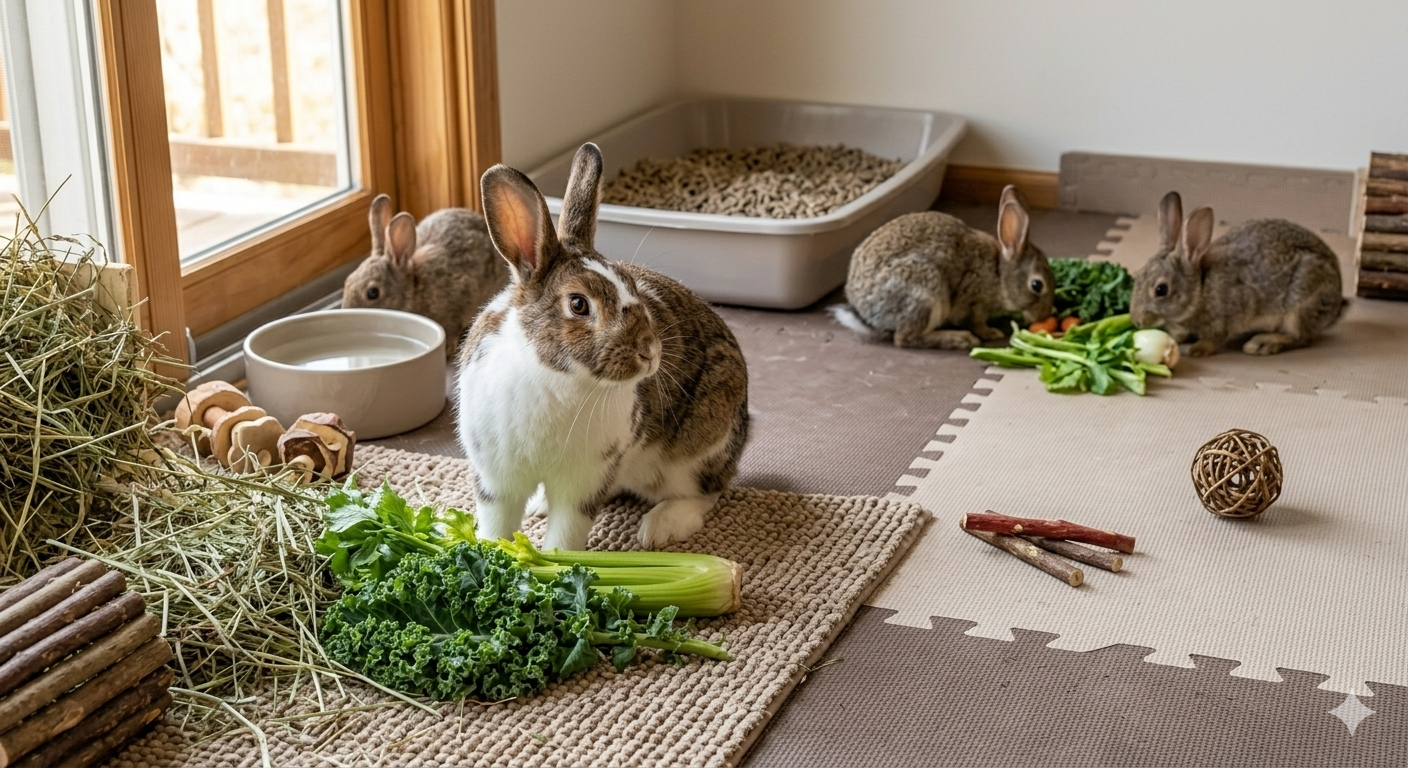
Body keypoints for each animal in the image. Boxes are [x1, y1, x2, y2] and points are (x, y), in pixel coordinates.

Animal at [455, 143, 750, 552]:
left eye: (633, 285)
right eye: (579, 305)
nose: (650, 353)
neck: (553, 375)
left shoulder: (584, 483)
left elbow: (566, 534)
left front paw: (555, 561)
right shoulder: (497, 479)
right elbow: (497, 525)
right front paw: (492, 555)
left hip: (699, 446)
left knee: (705, 492)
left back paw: (660, 527)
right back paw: (538, 505)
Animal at [829, 185, 1054, 349]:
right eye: (1037, 285)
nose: (1044, 316)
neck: (999, 273)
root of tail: (866, 314)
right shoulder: (976, 301)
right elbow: (977, 323)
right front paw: (991, 333)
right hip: (926, 293)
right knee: (905, 338)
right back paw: (960, 339)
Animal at [1130, 191, 1346, 357]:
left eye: (1161, 290)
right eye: (1138, 275)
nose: (1137, 321)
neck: (1201, 288)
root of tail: (1336, 301)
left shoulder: (1225, 318)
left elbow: (1216, 338)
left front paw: (1198, 349)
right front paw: (1176, 336)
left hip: (1300, 305)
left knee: (1301, 337)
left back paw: (1263, 343)